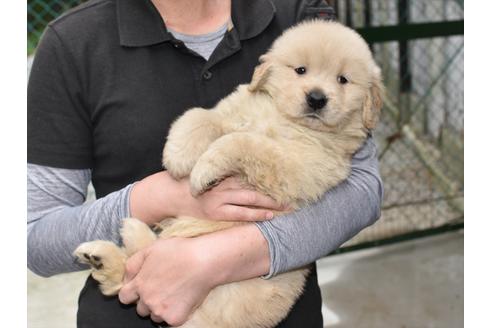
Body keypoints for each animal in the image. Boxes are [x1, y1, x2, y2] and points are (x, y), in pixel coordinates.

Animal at [75, 20, 384, 328]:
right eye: (300, 70)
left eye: (342, 80)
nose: (317, 99)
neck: (283, 118)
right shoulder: (233, 111)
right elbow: (200, 116)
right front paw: (179, 154)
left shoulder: (298, 167)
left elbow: (245, 142)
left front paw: (204, 170)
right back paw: (101, 254)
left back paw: (117, 245)